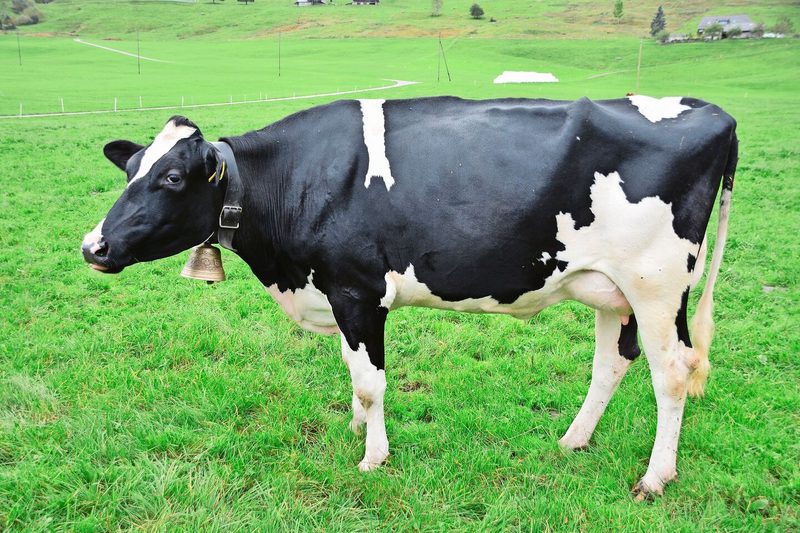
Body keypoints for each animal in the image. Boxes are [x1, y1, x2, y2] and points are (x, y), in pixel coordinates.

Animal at [81, 96, 738, 499]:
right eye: (131, 170)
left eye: (171, 177)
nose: (93, 245)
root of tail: (715, 114)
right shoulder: (340, 294)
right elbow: (353, 371)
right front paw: (355, 428)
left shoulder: (357, 289)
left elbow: (372, 381)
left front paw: (373, 457)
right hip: (611, 289)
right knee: (611, 363)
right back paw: (573, 440)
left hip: (659, 283)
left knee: (672, 372)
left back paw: (656, 477)